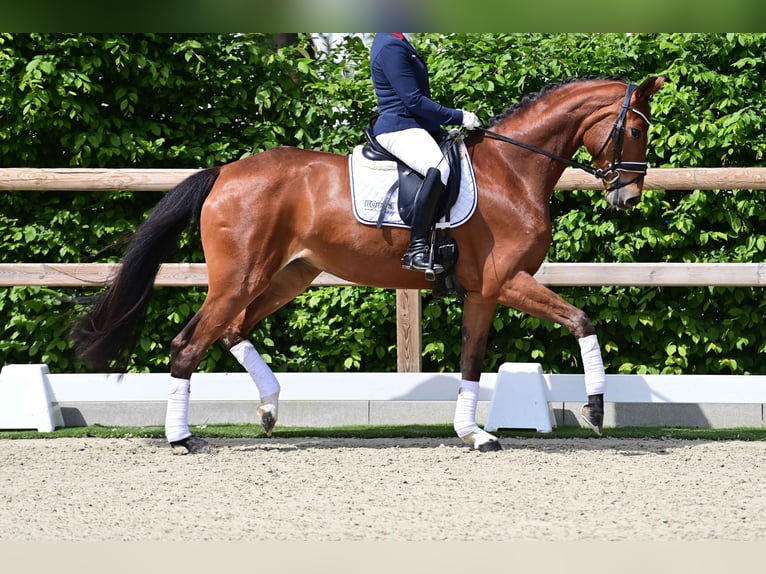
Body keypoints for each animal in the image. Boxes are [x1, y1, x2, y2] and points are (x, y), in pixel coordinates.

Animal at [75, 76, 668, 454]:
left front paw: (473, 433)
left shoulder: (484, 292)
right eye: (637, 130)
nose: (629, 197)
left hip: (288, 275)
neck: (513, 168)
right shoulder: (508, 281)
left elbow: (472, 362)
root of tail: (225, 172)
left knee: (233, 330)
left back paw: (268, 409)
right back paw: (182, 438)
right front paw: (595, 410)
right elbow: (581, 320)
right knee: (190, 344)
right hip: (240, 278)